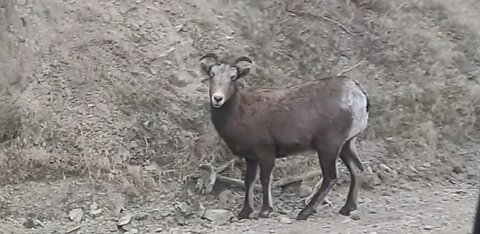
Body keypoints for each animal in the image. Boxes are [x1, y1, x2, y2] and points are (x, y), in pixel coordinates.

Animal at [199, 52, 372, 220]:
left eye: (233, 77)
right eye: (212, 75)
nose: (218, 98)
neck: (240, 113)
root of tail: (359, 96)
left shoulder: (266, 153)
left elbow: (265, 179)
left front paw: (265, 211)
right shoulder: (251, 158)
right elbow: (249, 181)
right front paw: (245, 212)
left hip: (328, 147)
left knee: (330, 177)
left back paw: (305, 212)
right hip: (346, 145)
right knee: (357, 169)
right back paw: (347, 208)